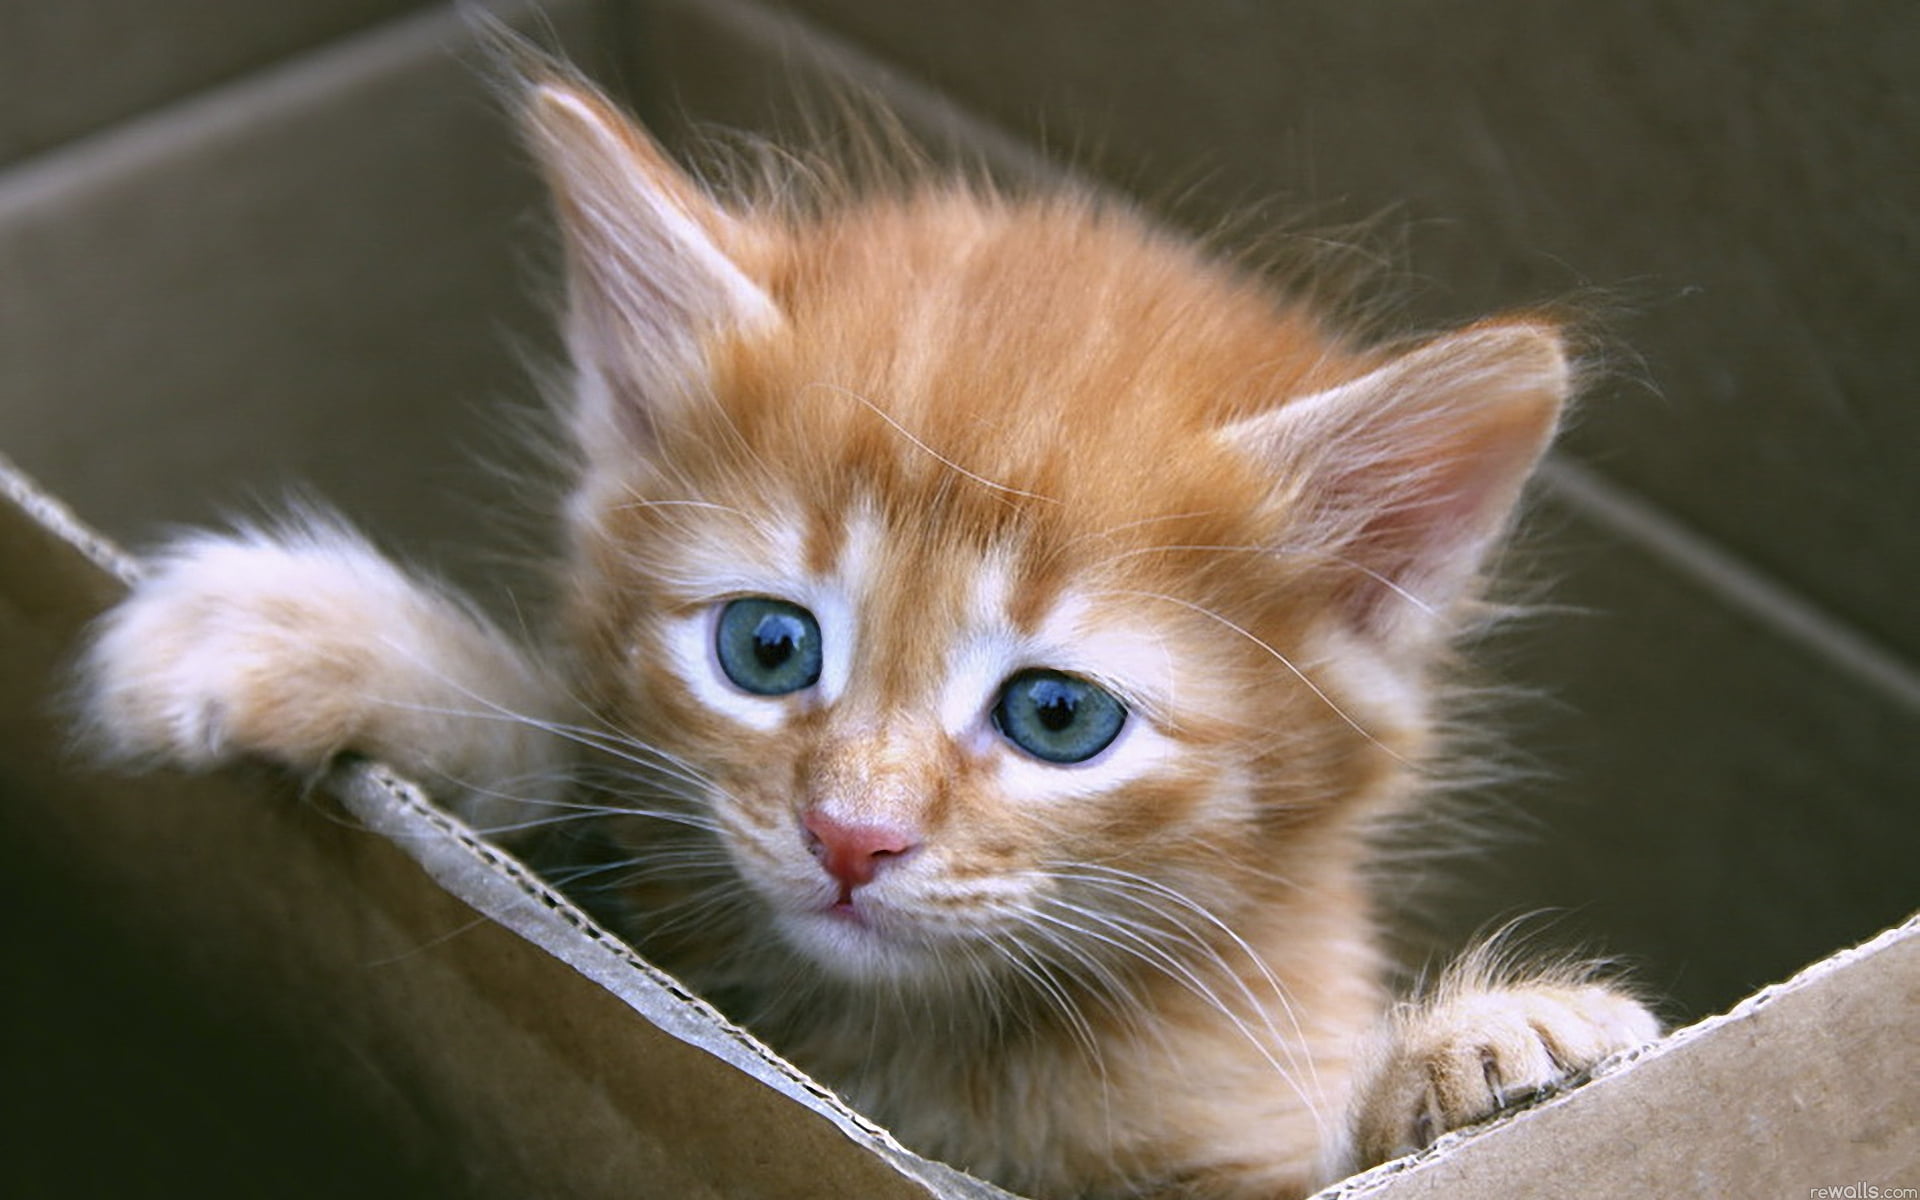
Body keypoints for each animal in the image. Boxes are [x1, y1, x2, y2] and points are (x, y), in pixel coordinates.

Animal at [82, 67, 1658, 1198]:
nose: (852, 837)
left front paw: (1483, 1053)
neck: (918, 1048)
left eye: (1057, 717)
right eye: (769, 649)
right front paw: (314, 631)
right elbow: (562, 761)